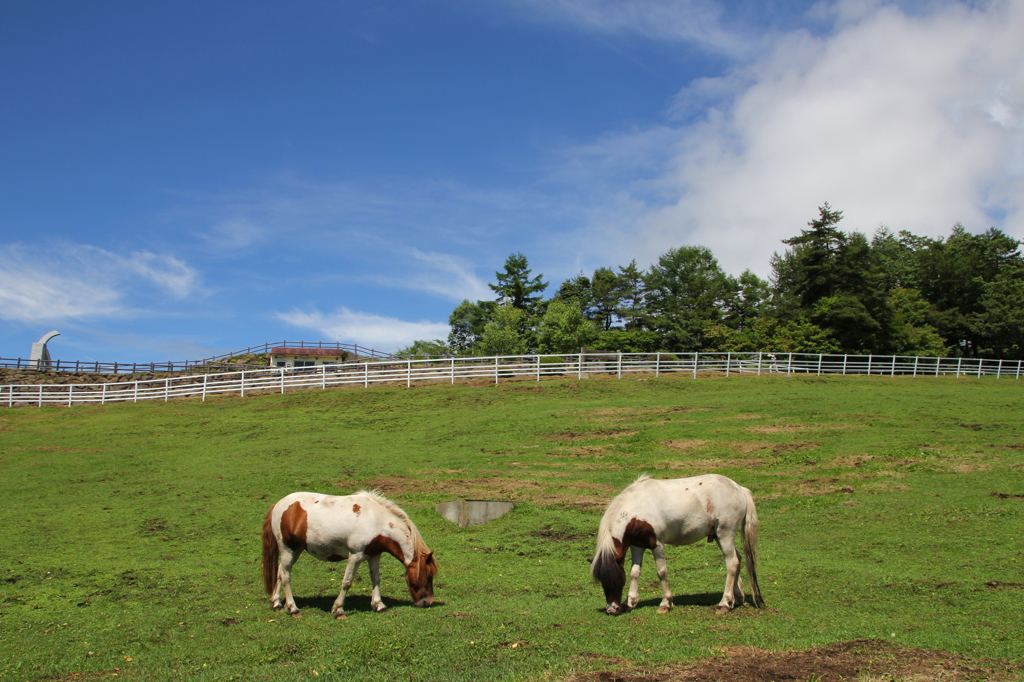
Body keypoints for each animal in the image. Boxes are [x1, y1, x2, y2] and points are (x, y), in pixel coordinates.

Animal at [260, 489, 436, 614]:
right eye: (428, 575)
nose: (427, 602)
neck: (376, 520)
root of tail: (278, 505)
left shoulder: (374, 555)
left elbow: (376, 579)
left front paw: (379, 605)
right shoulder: (355, 556)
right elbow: (347, 581)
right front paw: (338, 609)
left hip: (296, 549)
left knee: (280, 571)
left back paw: (277, 603)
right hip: (287, 549)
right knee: (285, 576)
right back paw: (292, 608)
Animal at [589, 475, 765, 614]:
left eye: (616, 579)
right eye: (602, 582)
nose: (611, 609)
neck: (637, 506)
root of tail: (739, 489)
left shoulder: (657, 544)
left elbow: (661, 572)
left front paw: (665, 603)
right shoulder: (637, 545)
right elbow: (635, 572)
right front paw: (630, 602)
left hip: (725, 534)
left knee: (732, 563)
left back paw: (724, 603)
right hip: (719, 536)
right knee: (738, 559)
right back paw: (736, 598)